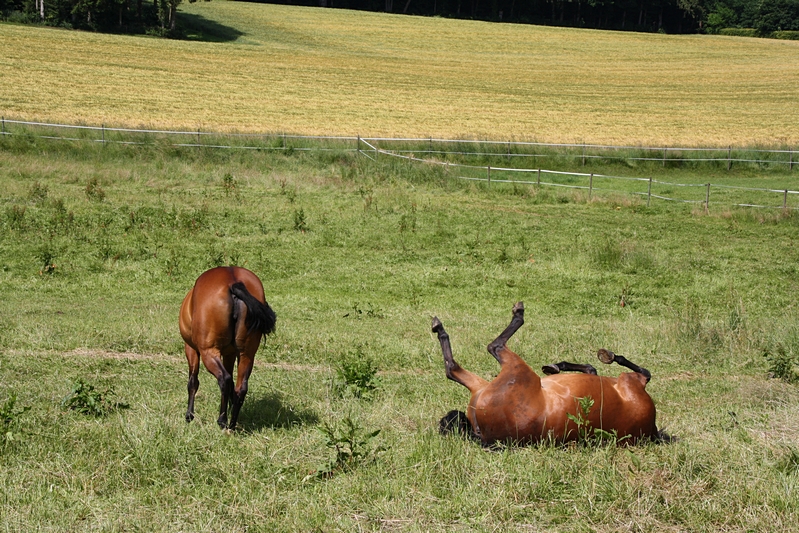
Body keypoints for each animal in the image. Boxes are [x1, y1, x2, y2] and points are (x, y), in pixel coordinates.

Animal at [180, 266, 276, 428]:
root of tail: (233, 282)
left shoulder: (191, 349)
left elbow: (193, 382)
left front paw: (189, 415)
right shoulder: (230, 354)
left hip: (209, 352)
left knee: (224, 379)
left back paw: (222, 420)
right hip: (246, 355)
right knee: (240, 387)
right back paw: (232, 424)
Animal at [434, 304, 660, 444]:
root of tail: (483, 434)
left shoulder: (630, 381)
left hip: (513, 370)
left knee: (477, 355)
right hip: (499, 378)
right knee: (465, 362)